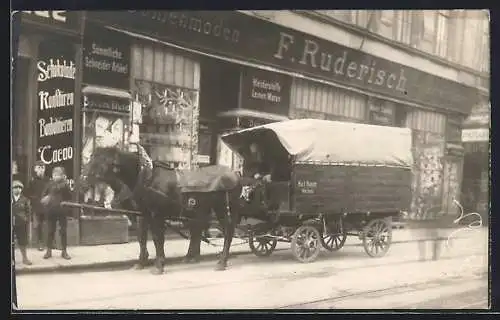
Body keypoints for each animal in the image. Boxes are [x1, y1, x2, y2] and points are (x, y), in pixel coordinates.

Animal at [81, 148, 243, 276]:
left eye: (102, 162)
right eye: (92, 158)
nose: (82, 179)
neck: (147, 178)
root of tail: (236, 175)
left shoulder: (157, 214)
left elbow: (157, 239)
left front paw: (159, 265)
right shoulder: (143, 214)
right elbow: (142, 238)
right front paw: (141, 262)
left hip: (222, 208)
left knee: (228, 231)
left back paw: (221, 262)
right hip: (200, 210)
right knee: (198, 230)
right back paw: (192, 257)